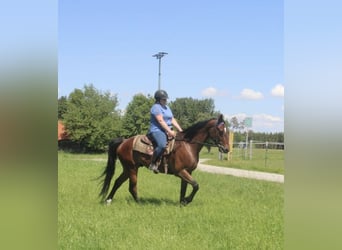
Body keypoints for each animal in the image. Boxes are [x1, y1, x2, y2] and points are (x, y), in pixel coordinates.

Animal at [98, 113, 230, 205]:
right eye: (220, 130)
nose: (227, 149)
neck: (188, 145)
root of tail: (124, 142)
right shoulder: (180, 171)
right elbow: (196, 185)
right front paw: (187, 200)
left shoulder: (187, 172)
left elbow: (184, 188)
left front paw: (182, 203)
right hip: (132, 169)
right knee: (132, 187)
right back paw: (140, 203)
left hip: (128, 168)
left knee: (117, 182)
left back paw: (108, 201)